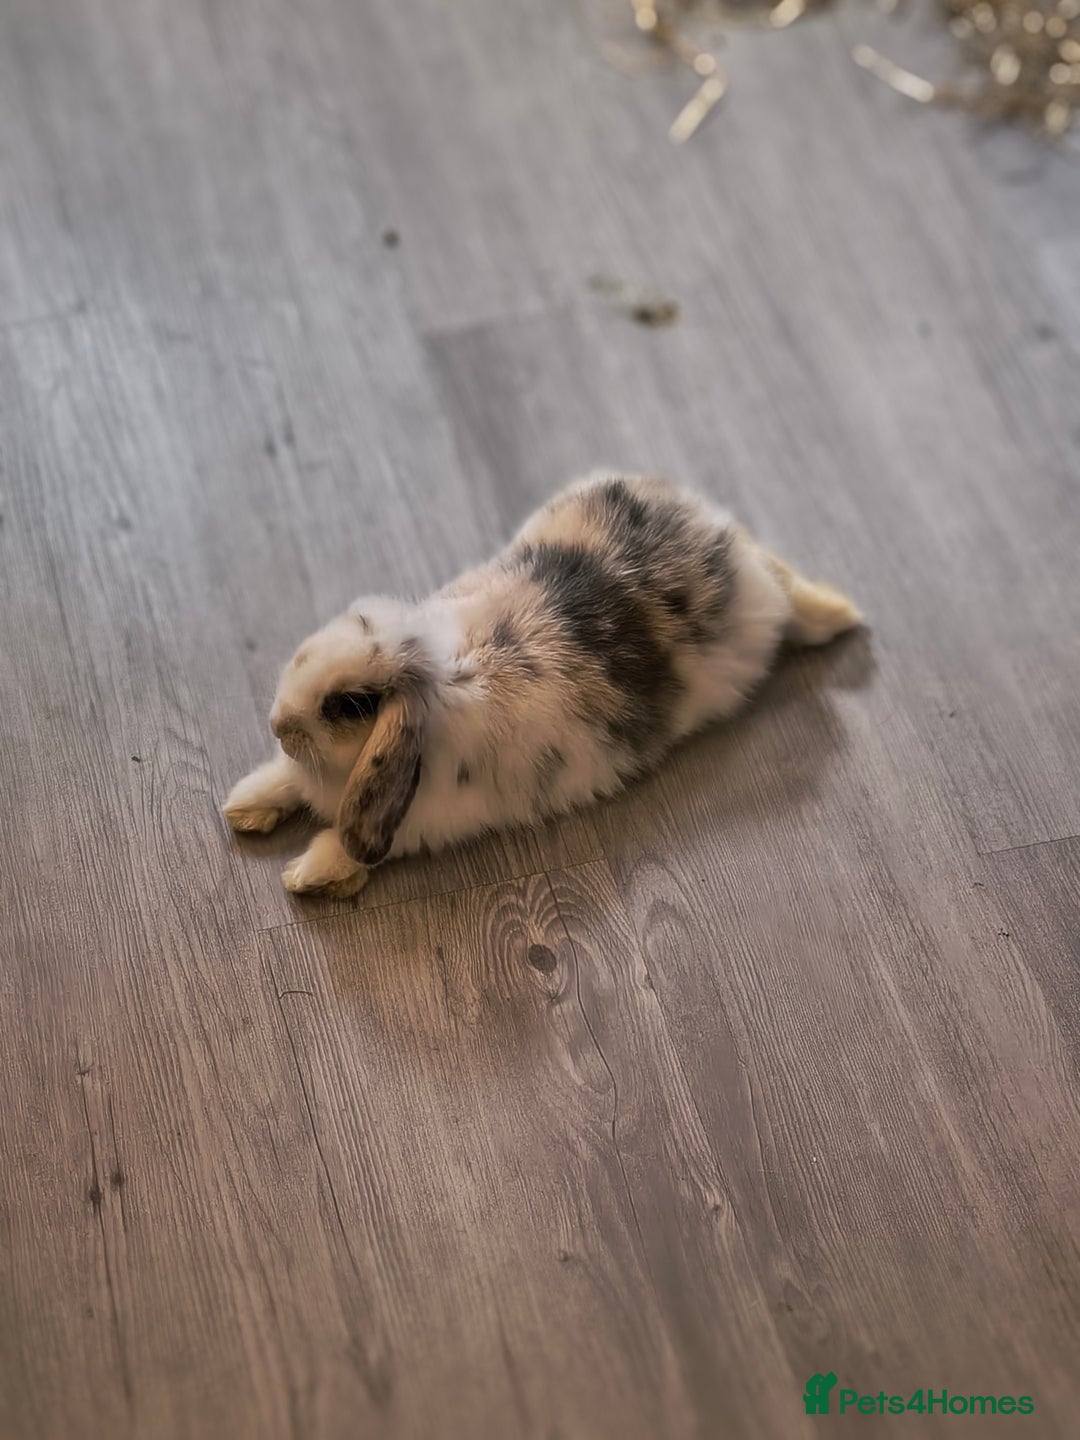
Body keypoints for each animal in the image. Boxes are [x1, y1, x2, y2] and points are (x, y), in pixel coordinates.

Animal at [223, 472, 860, 897]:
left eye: (350, 706)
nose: (278, 726)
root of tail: (716, 532)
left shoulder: (413, 823)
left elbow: (358, 843)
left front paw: (304, 873)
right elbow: (284, 781)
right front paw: (243, 805)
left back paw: (838, 614)